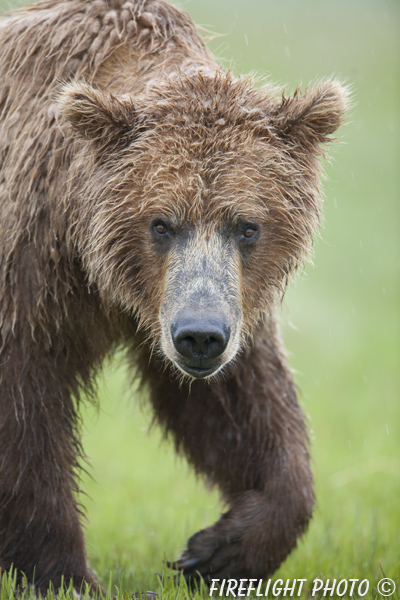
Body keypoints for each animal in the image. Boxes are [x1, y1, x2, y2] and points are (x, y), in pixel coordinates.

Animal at [0, 0, 346, 596]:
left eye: (247, 226)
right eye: (161, 223)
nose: (200, 337)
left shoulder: (223, 301)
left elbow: (234, 403)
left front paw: (220, 550)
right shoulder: (30, 271)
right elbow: (24, 411)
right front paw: (63, 573)